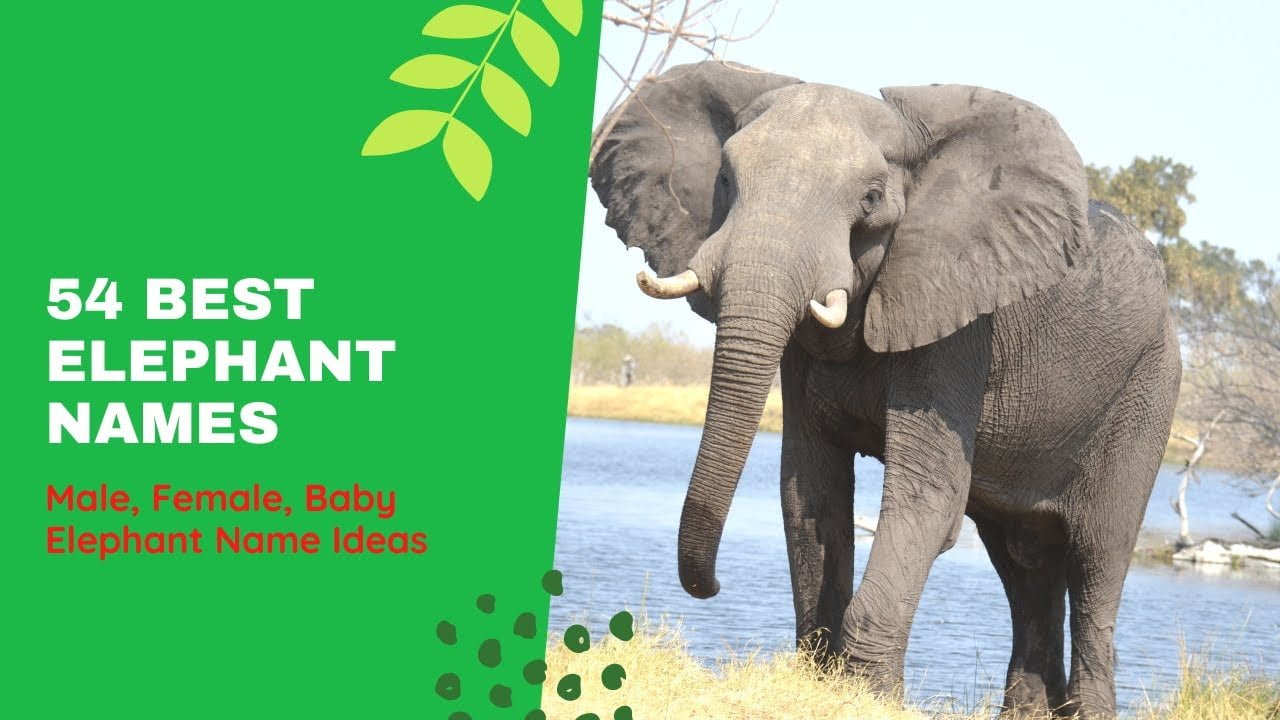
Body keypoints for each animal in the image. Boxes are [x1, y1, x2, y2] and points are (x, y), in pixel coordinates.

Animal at [588, 62, 1181, 718]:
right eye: (724, 179)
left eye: (870, 200)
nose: (713, 586)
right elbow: (809, 490)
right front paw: (818, 680)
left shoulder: (957, 321)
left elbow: (927, 497)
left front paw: (867, 695)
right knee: (1024, 559)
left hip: (1150, 389)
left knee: (1098, 555)